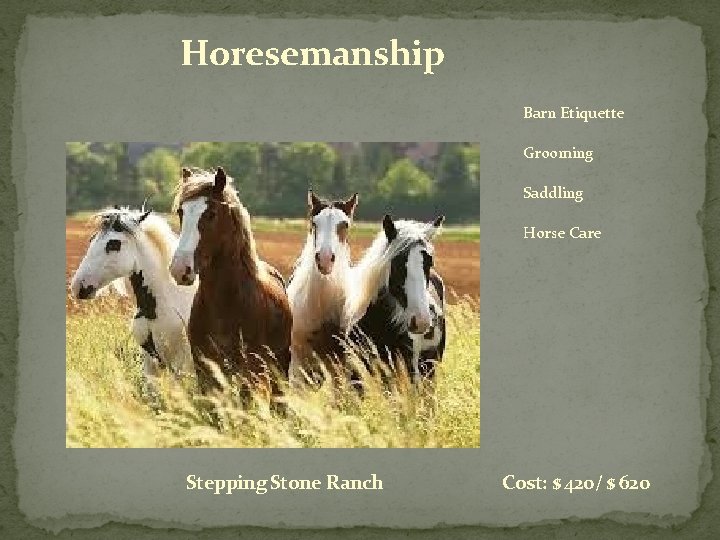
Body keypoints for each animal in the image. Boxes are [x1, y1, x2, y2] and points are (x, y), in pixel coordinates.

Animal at [169, 167, 292, 401]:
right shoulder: (205, 368)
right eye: (181, 212)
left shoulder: (249, 370)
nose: (180, 269)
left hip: (279, 365)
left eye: (211, 214)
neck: (225, 304)